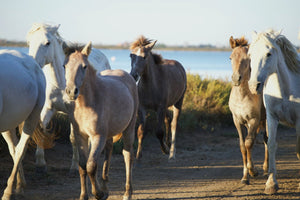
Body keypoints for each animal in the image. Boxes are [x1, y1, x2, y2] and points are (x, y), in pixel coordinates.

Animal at [0, 49, 46, 200]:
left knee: (20, 149)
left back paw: (9, 191)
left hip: (33, 116)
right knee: (14, 149)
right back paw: (19, 185)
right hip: (8, 123)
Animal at [26, 21, 111, 173]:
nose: (32, 63)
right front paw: (41, 163)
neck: (61, 82)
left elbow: (73, 138)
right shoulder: (48, 109)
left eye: (47, 43)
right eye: (29, 42)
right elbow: (42, 130)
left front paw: (75, 165)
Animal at [63, 42, 139, 200]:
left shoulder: (97, 137)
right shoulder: (81, 136)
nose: (71, 91)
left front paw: (98, 193)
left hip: (129, 128)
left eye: (84, 66)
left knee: (128, 155)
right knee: (109, 151)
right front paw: (84, 195)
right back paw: (105, 187)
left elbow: (91, 166)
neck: (87, 103)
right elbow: (82, 166)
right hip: (109, 134)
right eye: (64, 66)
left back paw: (127, 193)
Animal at [229, 36, 268, 184]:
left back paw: (266, 169)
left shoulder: (254, 120)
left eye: (248, 58)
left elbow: (248, 143)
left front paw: (251, 172)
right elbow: (243, 145)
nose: (236, 78)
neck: (243, 96)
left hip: (266, 120)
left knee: (267, 140)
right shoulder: (238, 121)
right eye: (230, 57)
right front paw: (246, 175)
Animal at [250, 28, 300, 195]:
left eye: (268, 54)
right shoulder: (272, 118)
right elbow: (271, 144)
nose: (254, 86)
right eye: (250, 54)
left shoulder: (299, 121)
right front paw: (271, 184)